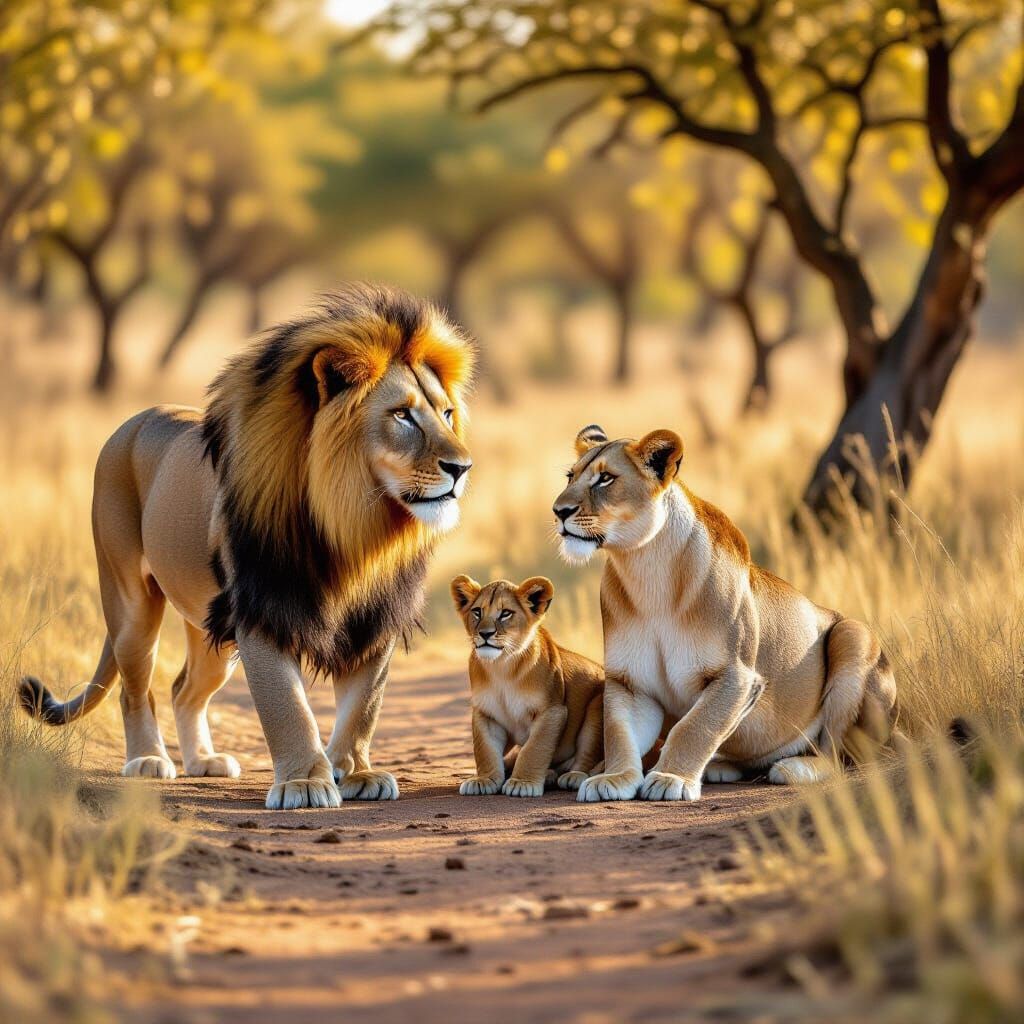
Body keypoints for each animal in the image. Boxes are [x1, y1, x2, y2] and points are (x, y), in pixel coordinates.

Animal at [20, 284, 475, 810]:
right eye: (401, 415)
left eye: (446, 414)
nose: (462, 467)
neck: (357, 528)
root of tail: (133, 421)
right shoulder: (263, 607)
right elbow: (287, 706)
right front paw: (305, 783)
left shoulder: (375, 616)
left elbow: (364, 705)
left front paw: (356, 772)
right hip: (130, 601)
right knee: (136, 690)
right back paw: (148, 760)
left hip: (212, 632)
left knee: (184, 689)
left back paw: (203, 761)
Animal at [450, 575, 604, 796]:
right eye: (477, 611)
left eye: (505, 613)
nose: (485, 634)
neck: (502, 667)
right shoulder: (485, 713)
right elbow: (485, 749)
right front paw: (484, 779)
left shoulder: (552, 711)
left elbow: (534, 749)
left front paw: (522, 783)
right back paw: (549, 774)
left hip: (597, 708)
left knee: (588, 755)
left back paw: (574, 776)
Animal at [551, 424, 898, 803]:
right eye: (570, 476)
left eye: (606, 479)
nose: (559, 510)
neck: (645, 568)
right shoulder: (630, 682)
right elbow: (619, 732)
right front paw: (614, 778)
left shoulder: (737, 676)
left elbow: (695, 726)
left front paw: (671, 778)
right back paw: (719, 767)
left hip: (852, 635)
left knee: (837, 754)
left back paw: (796, 767)